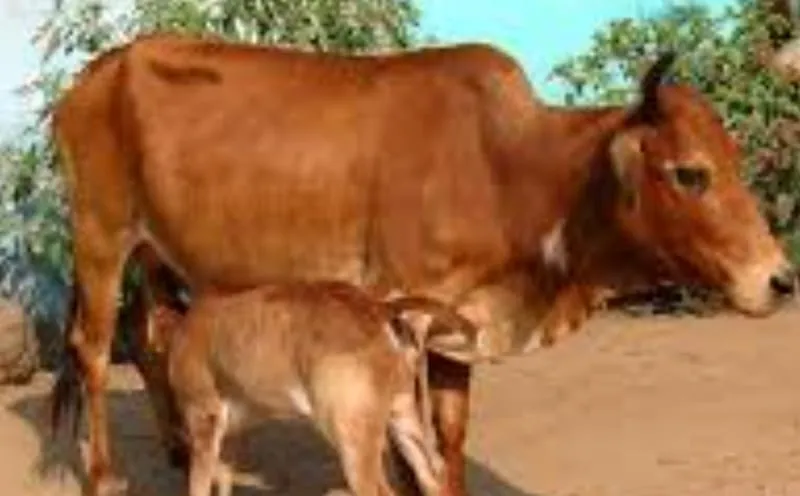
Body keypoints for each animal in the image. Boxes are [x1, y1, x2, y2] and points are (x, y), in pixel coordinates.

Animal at [157, 280, 477, 496]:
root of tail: (377, 308)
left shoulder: (203, 424)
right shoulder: (231, 436)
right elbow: (223, 479)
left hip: (350, 439)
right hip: (403, 420)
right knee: (434, 478)